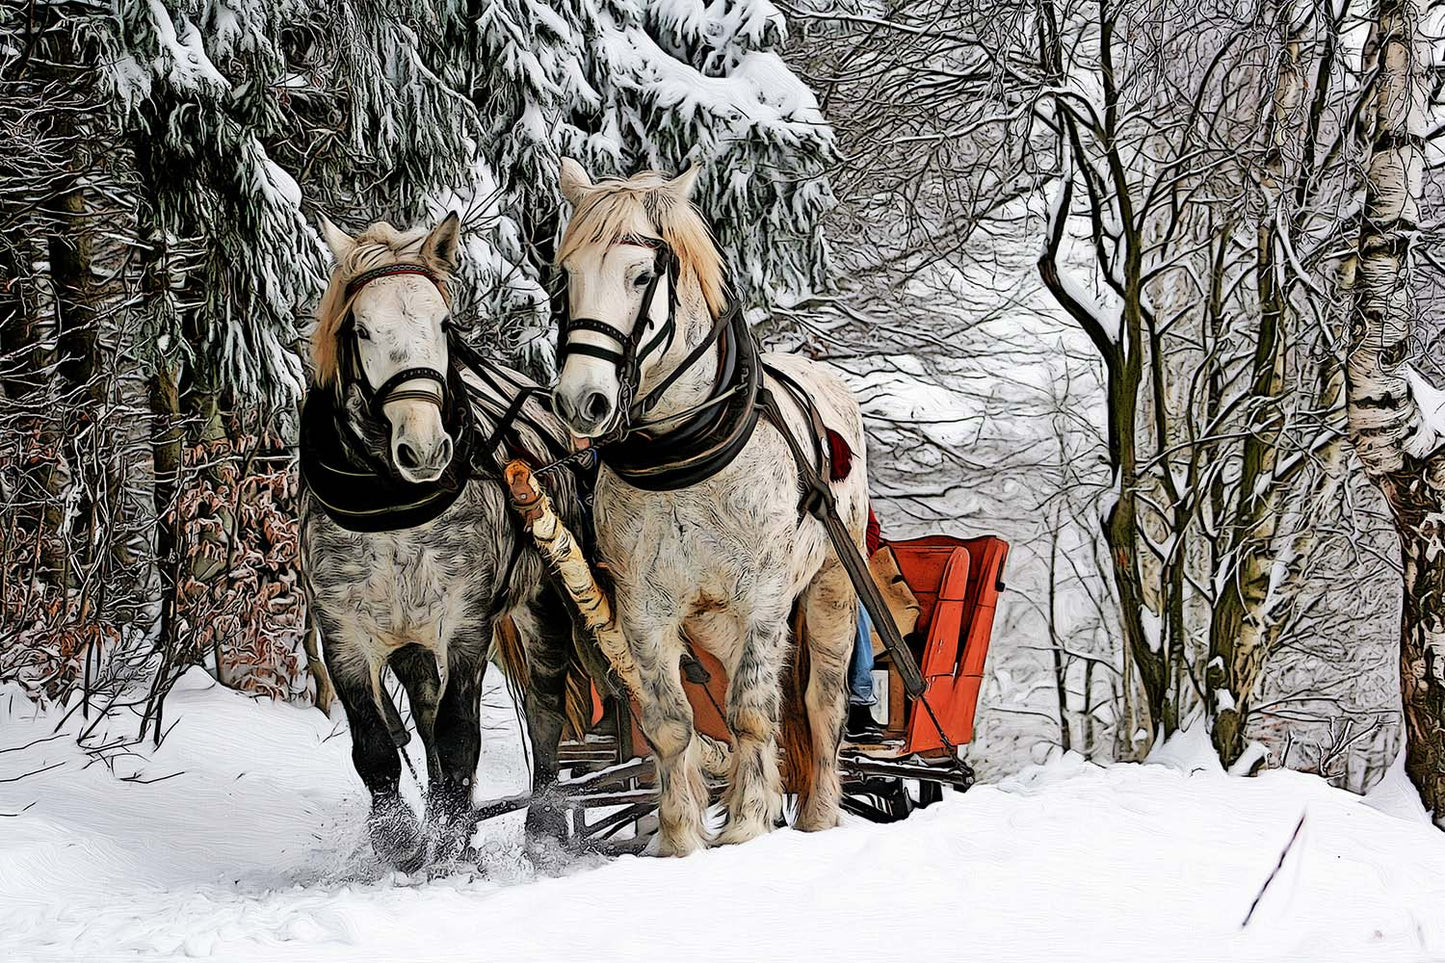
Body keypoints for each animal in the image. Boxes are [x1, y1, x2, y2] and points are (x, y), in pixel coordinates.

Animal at [551, 159, 867, 856]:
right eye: (568, 277)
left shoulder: (766, 598)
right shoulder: (643, 609)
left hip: (831, 586)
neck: (682, 457)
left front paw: (746, 826)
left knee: (820, 703)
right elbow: (672, 722)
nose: (582, 401)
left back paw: (818, 815)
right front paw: (678, 838)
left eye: (641, 276)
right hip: (714, 623)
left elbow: (751, 710)